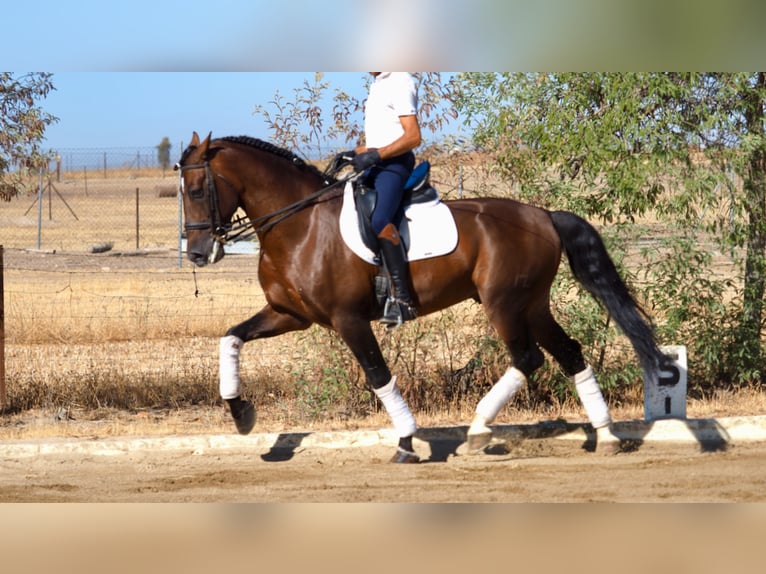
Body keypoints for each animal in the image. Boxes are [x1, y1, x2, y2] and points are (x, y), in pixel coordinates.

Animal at [177, 132, 668, 464]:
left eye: (198, 190)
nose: (199, 254)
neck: (299, 225)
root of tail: (544, 215)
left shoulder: (348, 319)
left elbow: (378, 376)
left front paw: (407, 443)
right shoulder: (288, 314)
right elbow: (230, 337)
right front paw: (241, 413)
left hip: (504, 304)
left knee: (528, 358)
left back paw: (478, 430)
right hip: (532, 304)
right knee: (568, 353)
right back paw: (605, 436)